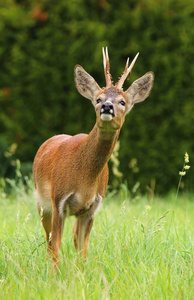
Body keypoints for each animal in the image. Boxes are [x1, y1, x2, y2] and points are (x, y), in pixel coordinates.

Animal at [33, 48, 155, 268]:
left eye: (122, 101)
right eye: (98, 99)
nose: (107, 106)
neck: (85, 180)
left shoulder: (92, 209)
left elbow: (83, 252)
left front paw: (81, 273)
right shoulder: (59, 202)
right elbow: (56, 250)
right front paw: (55, 275)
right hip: (42, 202)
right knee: (48, 241)